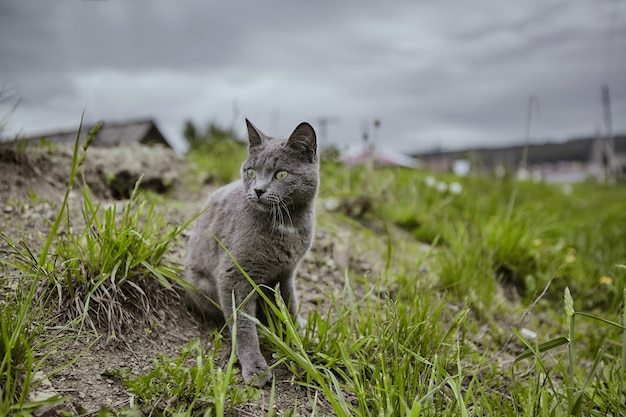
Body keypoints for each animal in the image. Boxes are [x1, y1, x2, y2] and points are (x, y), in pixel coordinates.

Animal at [182, 118, 316, 386]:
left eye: (281, 173)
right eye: (252, 172)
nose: (258, 190)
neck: (288, 223)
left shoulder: (286, 273)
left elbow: (290, 305)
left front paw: (297, 334)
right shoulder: (235, 275)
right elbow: (243, 325)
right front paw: (256, 369)